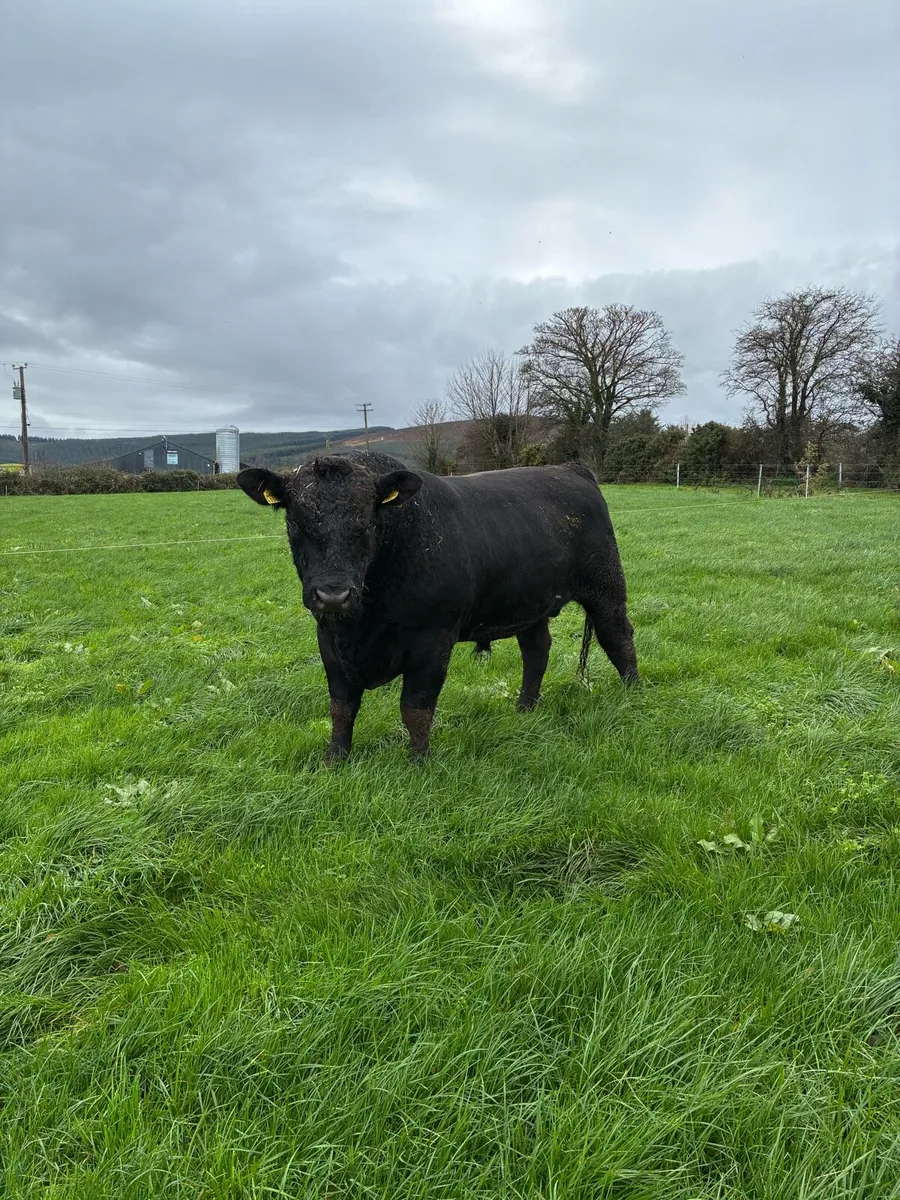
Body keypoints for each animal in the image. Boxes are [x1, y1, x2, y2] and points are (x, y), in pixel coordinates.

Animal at [237, 453, 638, 761]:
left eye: (366, 523)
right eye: (296, 522)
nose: (333, 595)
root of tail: (572, 468)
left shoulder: (432, 639)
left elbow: (415, 707)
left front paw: (419, 763)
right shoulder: (329, 637)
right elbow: (341, 707)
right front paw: (335, 759)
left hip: (605, 586)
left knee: (618, 638)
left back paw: (634, 697)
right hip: (530, 603)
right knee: (537, 653)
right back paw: (524, 711)